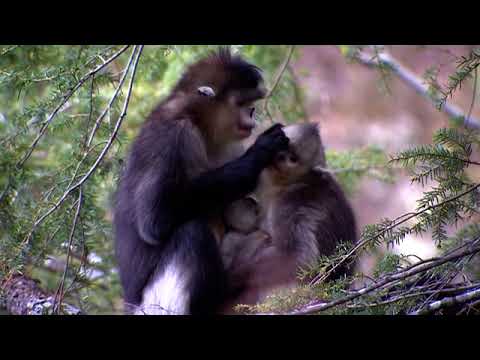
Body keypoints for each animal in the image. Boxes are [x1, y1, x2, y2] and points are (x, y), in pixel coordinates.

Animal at [112, 48, 288, 316]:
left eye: (252, 107)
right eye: (243, 105)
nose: (252, 120)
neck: (198, 123)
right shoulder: (172, 135)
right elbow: (154, 221)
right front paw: (261, 152)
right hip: (154, 304)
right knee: (192, 232)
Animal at [219, 122, 358, 310]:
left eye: (292, 158)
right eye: (282, 146)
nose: (278, 156)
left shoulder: (293, 203)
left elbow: (298, 258)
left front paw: (231, 279)